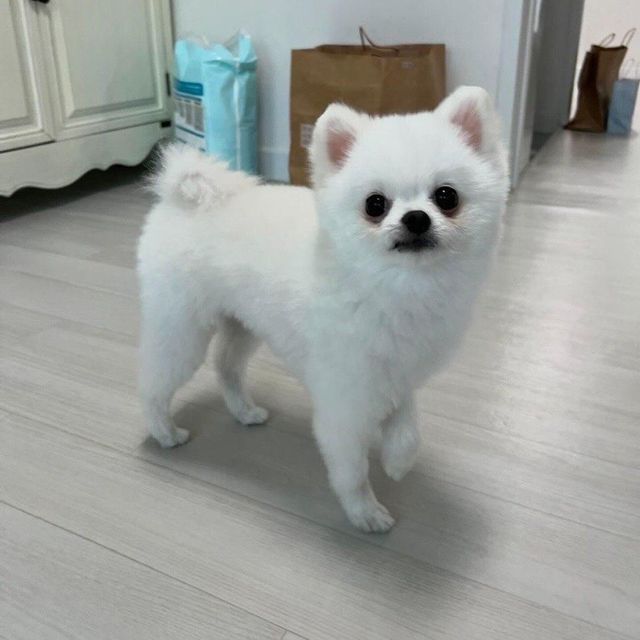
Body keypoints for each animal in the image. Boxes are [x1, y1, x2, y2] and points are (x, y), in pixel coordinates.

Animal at [137, 86, 509, 532]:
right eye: (375, 205)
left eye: (447, 197)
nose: (417, 218)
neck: (395, 285)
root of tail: (184, 197)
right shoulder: (344, 398)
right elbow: (351, 469)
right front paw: (364, 512)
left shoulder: (397, 373)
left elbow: (409, 428)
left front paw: (398, 462)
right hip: (181, 326)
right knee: (154, 383)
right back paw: (164, 431)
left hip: (244, 322)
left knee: (226, 364)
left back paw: (244, 411)